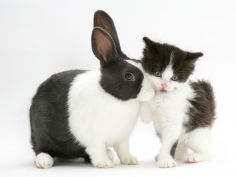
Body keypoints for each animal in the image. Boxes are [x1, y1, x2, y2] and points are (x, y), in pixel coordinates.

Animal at [29, 10, 154, 169]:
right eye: (129, 75)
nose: (153, 92)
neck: (114, 97)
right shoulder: (95, 137)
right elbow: (97, 149)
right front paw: (104, 163)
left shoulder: (122, 138)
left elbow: (123, 149)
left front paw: (130, 160)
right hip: (40, 132)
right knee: (40, 148)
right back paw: (44, 161)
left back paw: (110, 154)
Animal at [140, 37, 216, 167]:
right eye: (157, 73)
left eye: (174, 78)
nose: (164, 85)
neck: (163, 96)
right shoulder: (149, 116)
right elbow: (145, 115)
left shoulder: (173, 120)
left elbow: (168, 141)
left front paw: (165, 160)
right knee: (181, 149)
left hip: (195, 133)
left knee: (209, 151)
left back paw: (194, 157)